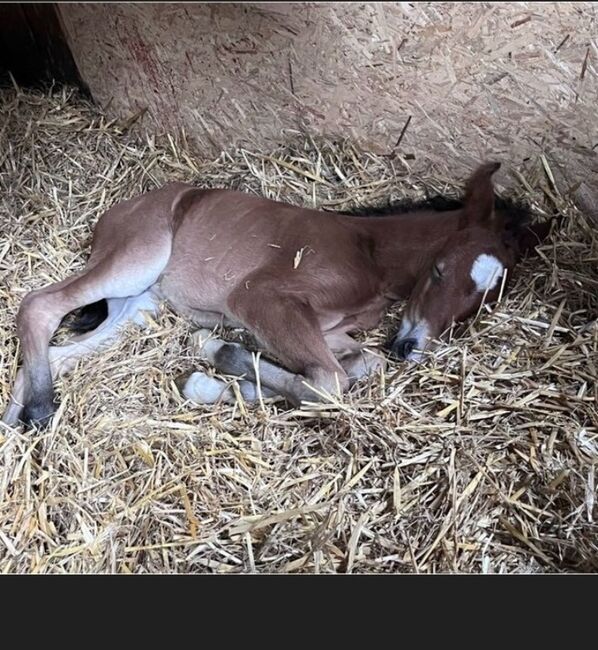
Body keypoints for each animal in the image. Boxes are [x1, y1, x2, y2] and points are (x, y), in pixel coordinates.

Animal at [1, 162, 552, 426]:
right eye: (438, 270)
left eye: (483, 301)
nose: (410, 348)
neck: (370, 252)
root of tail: (114, 215)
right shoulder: (260, 297)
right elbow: (328, 382)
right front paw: (217, 356)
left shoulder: (329, 329)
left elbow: (356, 367)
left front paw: (216, 378)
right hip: (137, 257)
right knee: (39, 305)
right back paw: (40, 410)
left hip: (141, 305)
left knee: (61, 350)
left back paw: (15, 416)